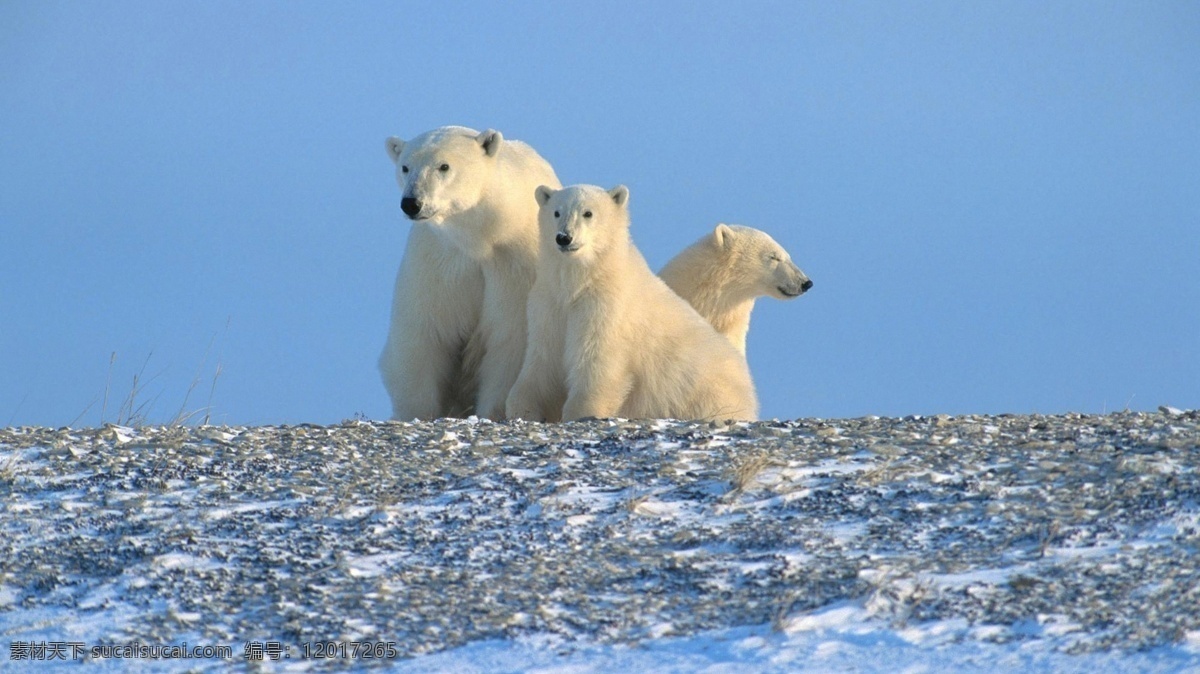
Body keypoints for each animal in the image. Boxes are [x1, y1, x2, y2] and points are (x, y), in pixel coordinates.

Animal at [376, 126, 559, 417]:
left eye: (444, 166)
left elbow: (509, 340)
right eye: (405, 166)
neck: (482, 237)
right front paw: (418, 412)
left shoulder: (514, 266)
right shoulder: (439, 262)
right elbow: (424, 335)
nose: (412, 203)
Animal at [506, 181, 758, 417]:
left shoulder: (606, 308)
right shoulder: (550, 304)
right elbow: (543, 360)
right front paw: (522, 407)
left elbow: (596, 362)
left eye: (588, 213)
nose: (564, 238)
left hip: (704, 391)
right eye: (557, 212)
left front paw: (582, 410)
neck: (582, 282)